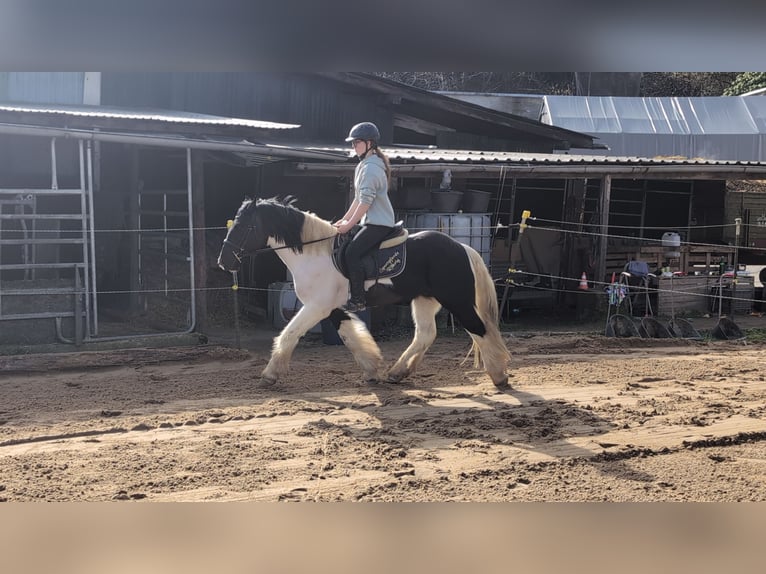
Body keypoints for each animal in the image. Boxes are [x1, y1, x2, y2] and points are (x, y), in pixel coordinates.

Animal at [217, 197, 511, 388]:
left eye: (245, 227)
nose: (224, 262)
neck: (314, 254)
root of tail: (462, 247)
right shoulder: (331, 308)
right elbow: (350, 337)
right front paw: (371, 370)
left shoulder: (316, 307)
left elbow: (289, 334)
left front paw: (270, 374)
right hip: (425, 300)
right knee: (426, 334)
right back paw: (397, 373)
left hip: (457, 300)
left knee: (480, 329)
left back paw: (499, 376)